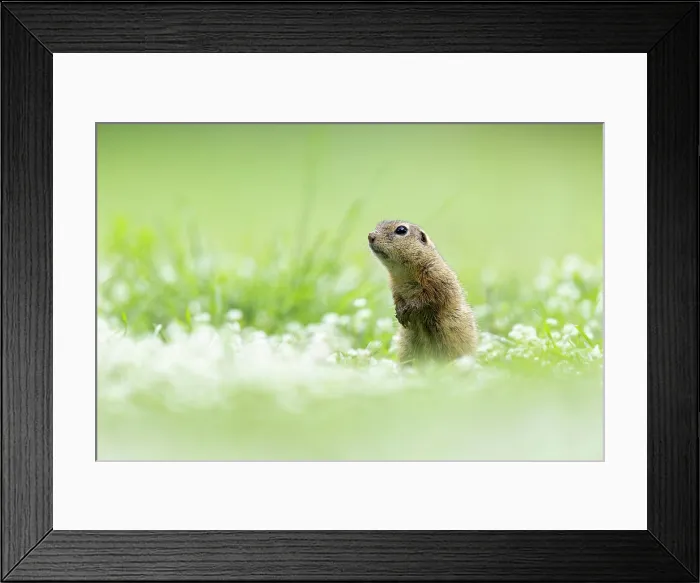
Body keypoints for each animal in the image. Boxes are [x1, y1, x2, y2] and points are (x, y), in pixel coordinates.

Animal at [368, 220, 478, 364]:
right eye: (378, 225)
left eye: (401, 230)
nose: (370, 236)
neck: (404, 273)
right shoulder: (394, 286)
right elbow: (397, 298)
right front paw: (399, 311)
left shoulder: (436, 277)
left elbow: (429, 297)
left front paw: (408, 309)